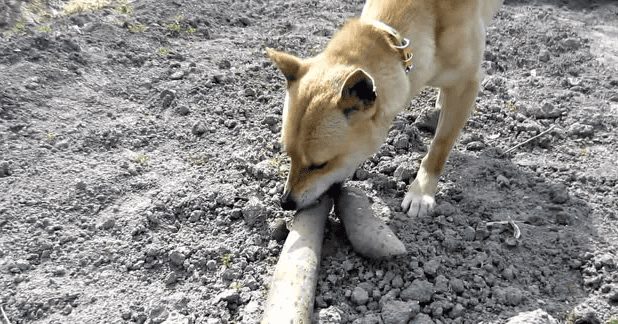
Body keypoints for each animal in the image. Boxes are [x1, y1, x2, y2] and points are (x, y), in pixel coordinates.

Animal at [268, 0, 500, 218]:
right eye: (289, 156)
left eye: (320, 165)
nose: (285, 203)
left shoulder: (468, 83)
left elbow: (440, 145)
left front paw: (421, 192)